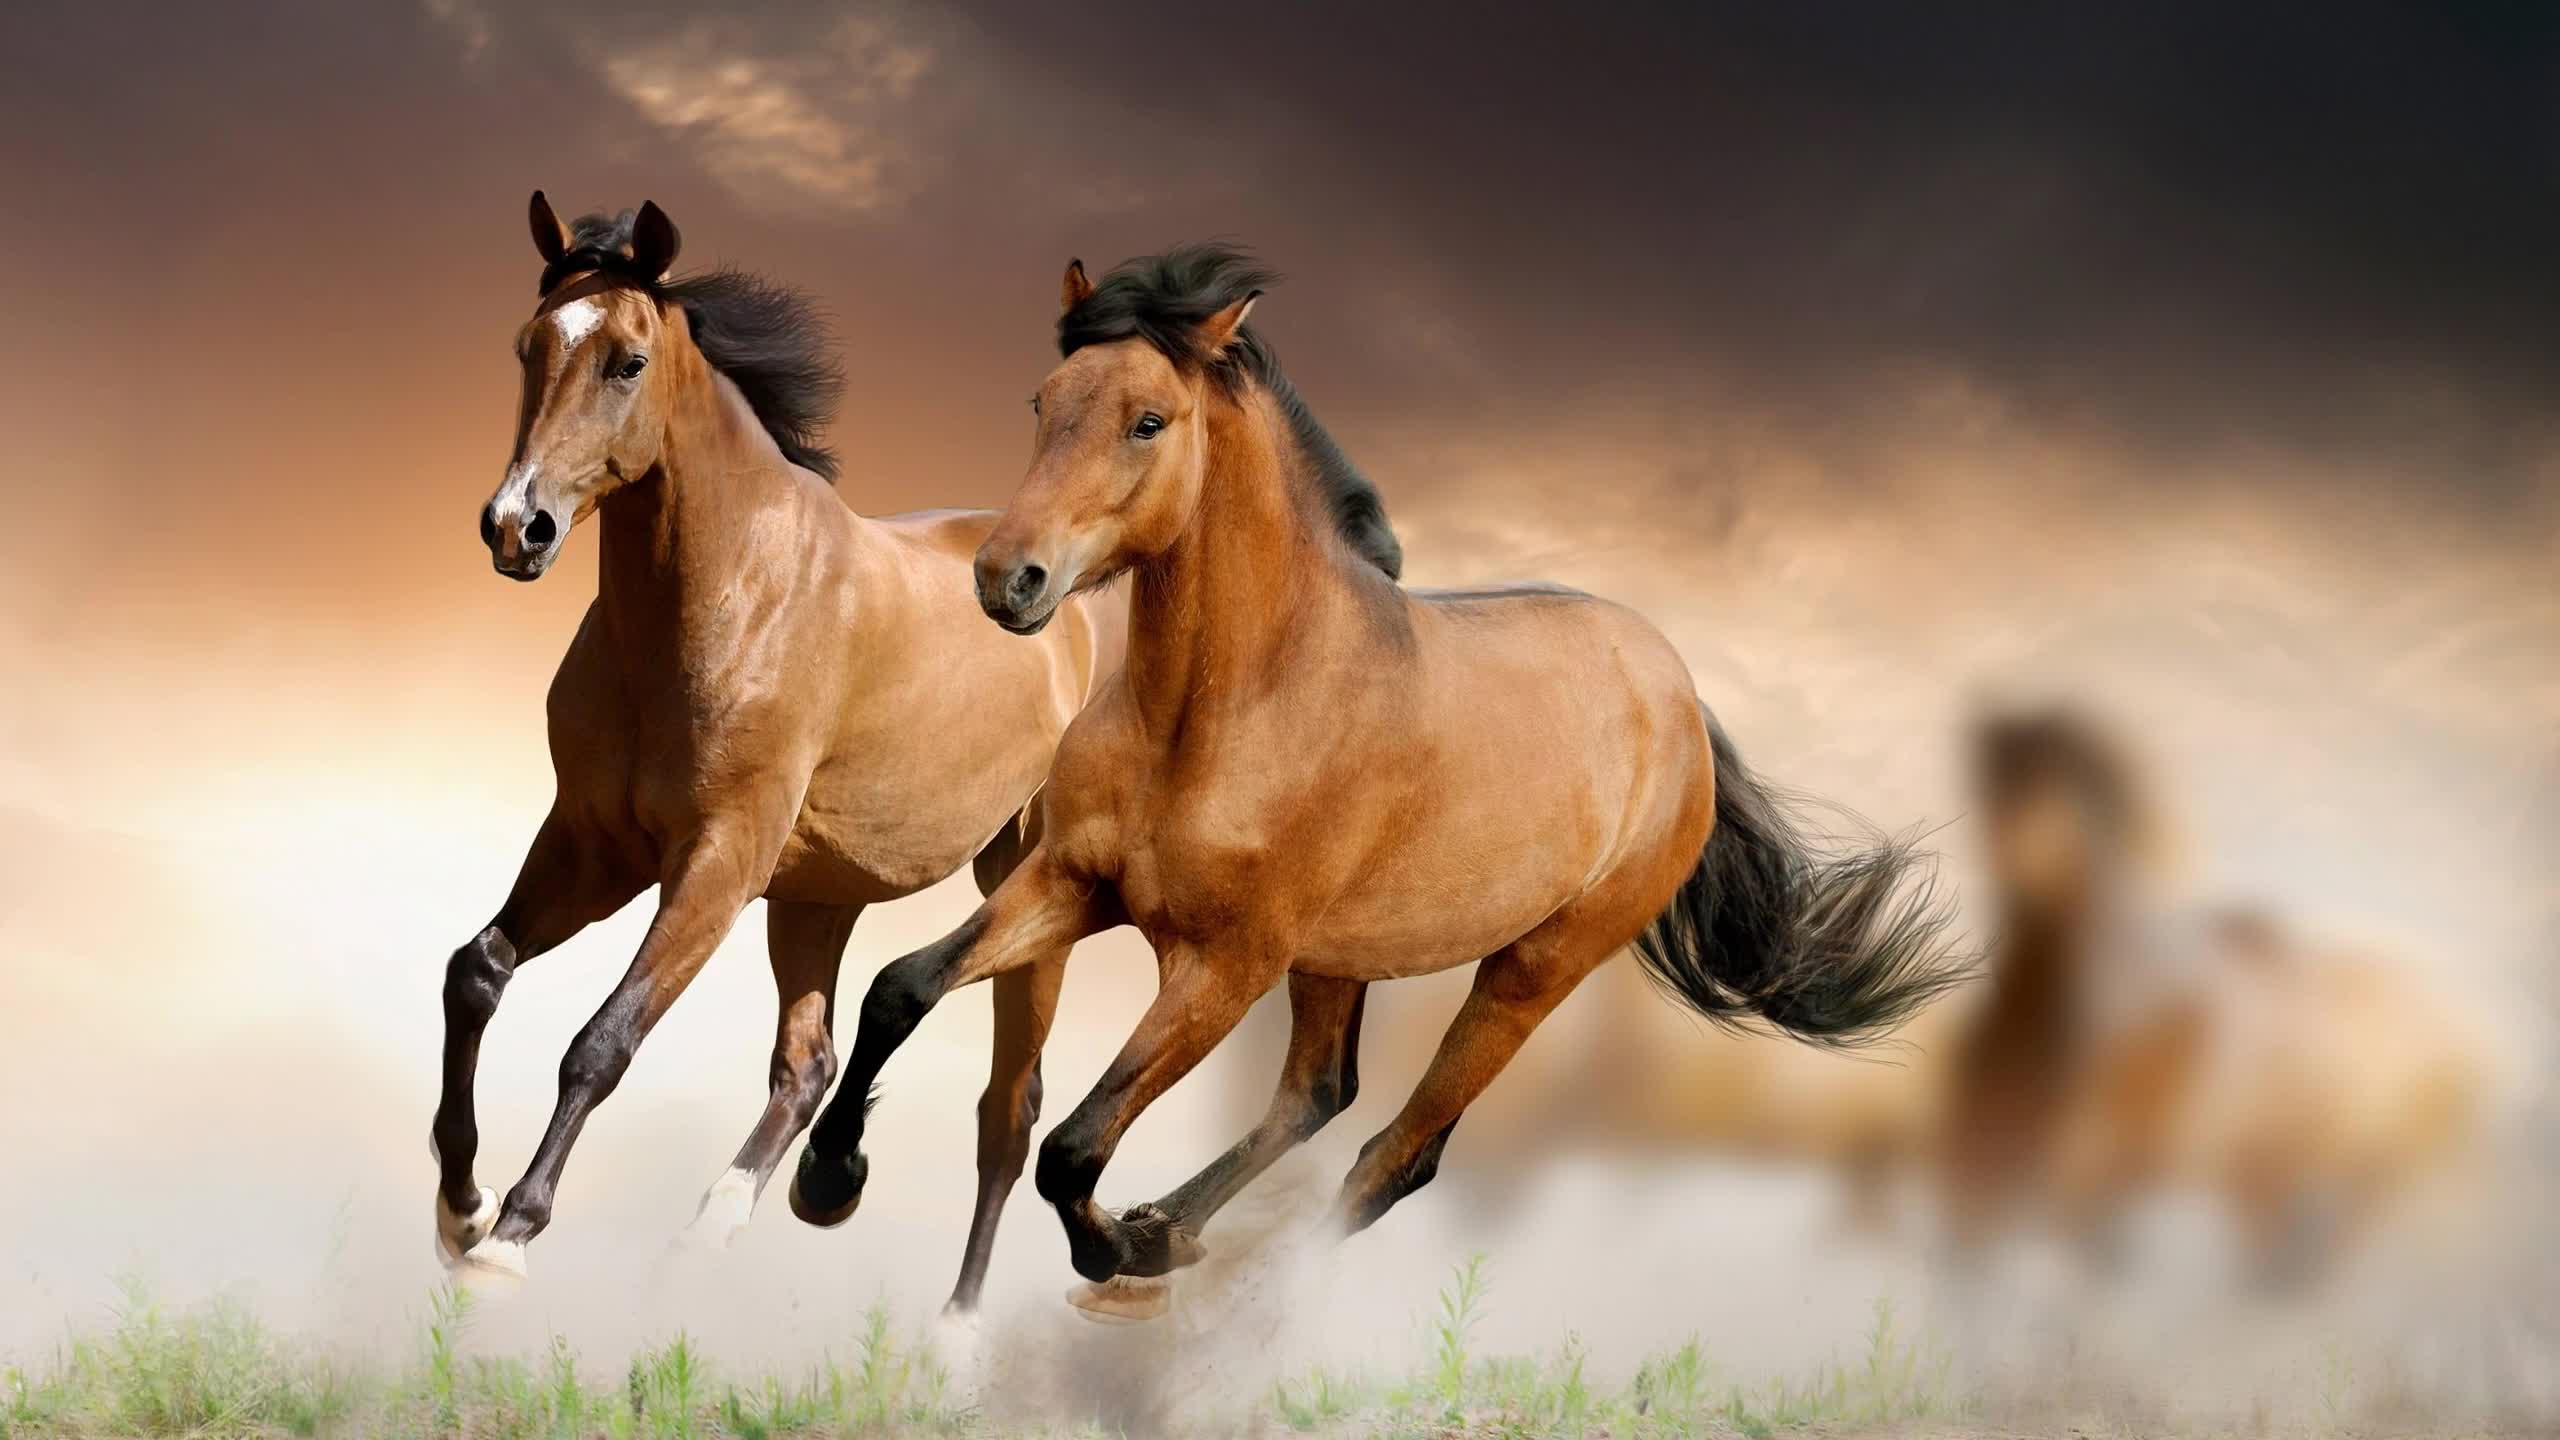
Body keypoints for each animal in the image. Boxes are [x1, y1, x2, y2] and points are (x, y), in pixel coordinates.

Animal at [429, 193, 1114, 1319]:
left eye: (626, 361)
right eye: (529, 347)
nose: (515, 527)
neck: (725, 598)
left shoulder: (715, 862)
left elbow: (602, 1042)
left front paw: (510, 1236)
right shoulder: (592, 844)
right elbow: (476, 972)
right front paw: (460, 1204)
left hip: (1024, 889)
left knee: (1007, 1113)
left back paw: (954, 1330)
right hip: (816, 897)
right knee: (809, 1065)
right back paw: (723, 1227)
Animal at [787, 244, 1971, 1320]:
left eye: (1148, 421)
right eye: (1044, 401)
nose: (1007, 580)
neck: (1222, 712)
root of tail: (1679, 701)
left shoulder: (1223, 966)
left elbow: (1074, 1148)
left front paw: (1111, 1250)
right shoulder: (1073, 884)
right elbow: (901, 988)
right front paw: (827, 1183)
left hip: (1530, 970)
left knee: (1394, 1157)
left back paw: (1197, 1286)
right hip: (1338, 958)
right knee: (1319, 1094)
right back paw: (1170, 1233)